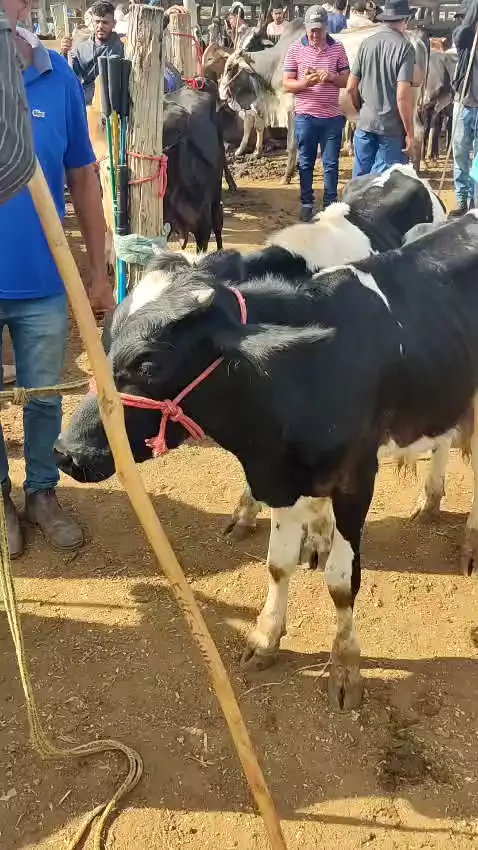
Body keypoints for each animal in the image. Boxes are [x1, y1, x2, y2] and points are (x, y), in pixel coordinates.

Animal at [56, 211, 478, 712]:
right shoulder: (278, 478)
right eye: (103, 340)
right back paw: (430, 501)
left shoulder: (355, 479)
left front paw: (345, 666)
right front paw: (265, 638)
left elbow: (341, 581)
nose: (66, 452)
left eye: (148, 363)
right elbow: (278, 564)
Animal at [219, 20, 429, 179]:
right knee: (418, 131)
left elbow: (291, 143)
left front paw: (287, 176)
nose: (221, 92)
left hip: (405, 103)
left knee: (416, 133)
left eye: (230, 67)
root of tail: (414, 37)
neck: (277, 61)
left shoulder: (291, 107)